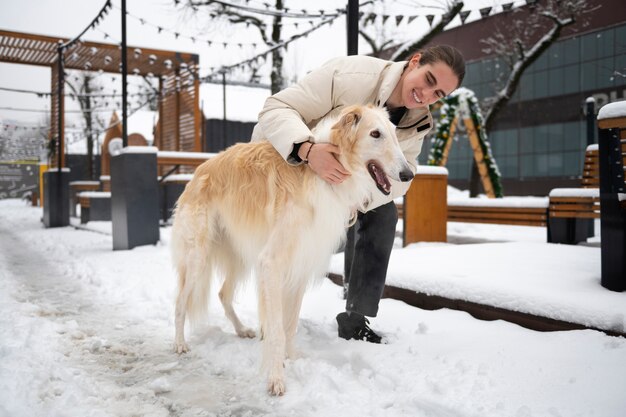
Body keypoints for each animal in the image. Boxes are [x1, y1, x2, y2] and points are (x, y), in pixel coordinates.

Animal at [171, 103, 414, 394]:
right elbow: (276, 330)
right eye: (375, 134)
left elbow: (290, 326)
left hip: (239, 257)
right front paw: (276, 379)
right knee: (180, 302)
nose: (408, 175)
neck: (320, 175)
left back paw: (242, 330)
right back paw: (180, 343)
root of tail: (197, 172)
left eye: (394, 133)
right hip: (198, 257)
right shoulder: (271, 263)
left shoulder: (300, 266)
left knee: (223, 294)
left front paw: (292, 359)